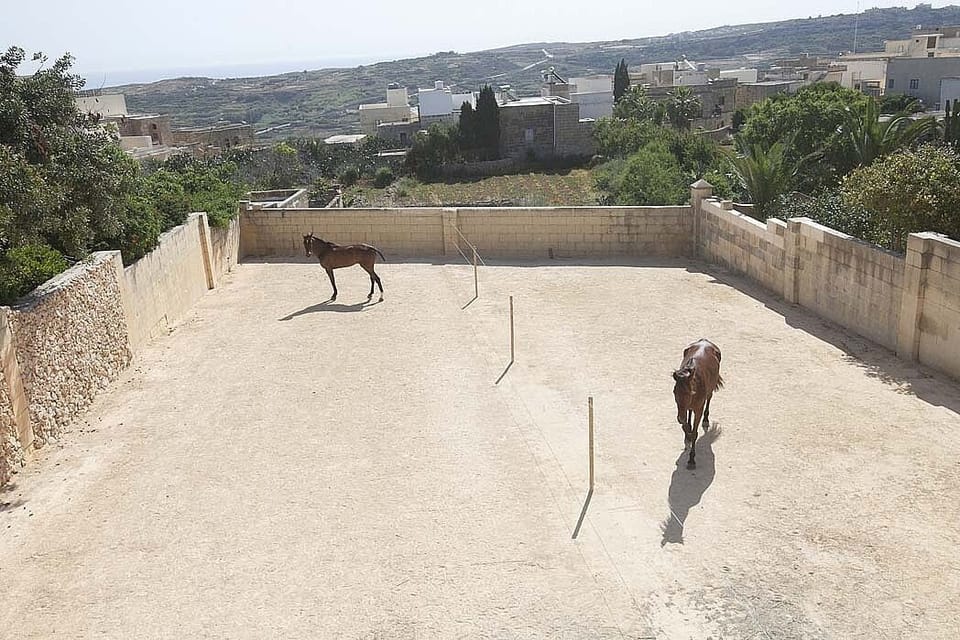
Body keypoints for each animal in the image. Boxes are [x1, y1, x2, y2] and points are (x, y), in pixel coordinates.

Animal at [672, 338, 724, 469]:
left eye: (690, 392)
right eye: (674, 392)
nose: (679, 418)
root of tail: (705, 340)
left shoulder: (698, 408)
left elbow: (695, 433)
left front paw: (691, 460)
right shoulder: (682, 409)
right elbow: (685, 426)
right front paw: (687, 435)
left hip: (710, 390)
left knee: (709, 398)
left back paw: (705, 419)